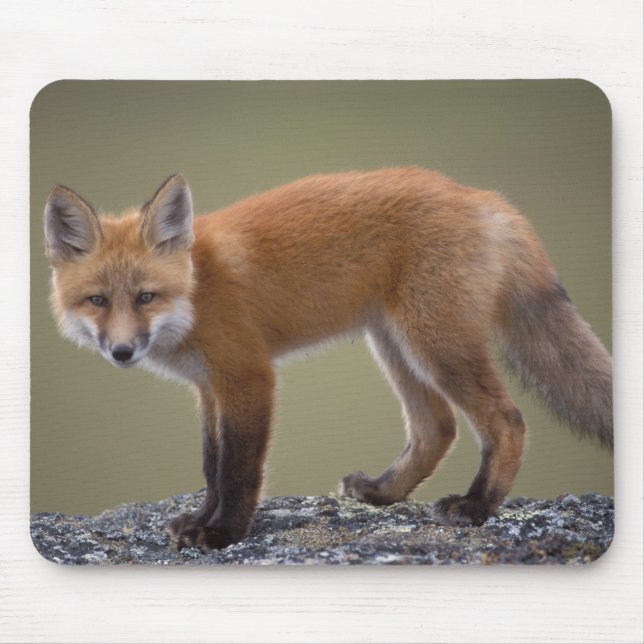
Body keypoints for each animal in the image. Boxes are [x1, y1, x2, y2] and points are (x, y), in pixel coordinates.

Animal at [43, 167, 613, 551]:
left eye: (145, 297)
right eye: (97, 300)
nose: (122, 350)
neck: (196, 291)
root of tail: (483, 196)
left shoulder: (249, 377)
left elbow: (238, 468)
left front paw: (224, 532)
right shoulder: (209, 388)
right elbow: (211, 465)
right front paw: (200, 519)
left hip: (435, 345)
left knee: (506, 421)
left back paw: (475, 507)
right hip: (394, 343)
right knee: (437, 428)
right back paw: (382, 493)